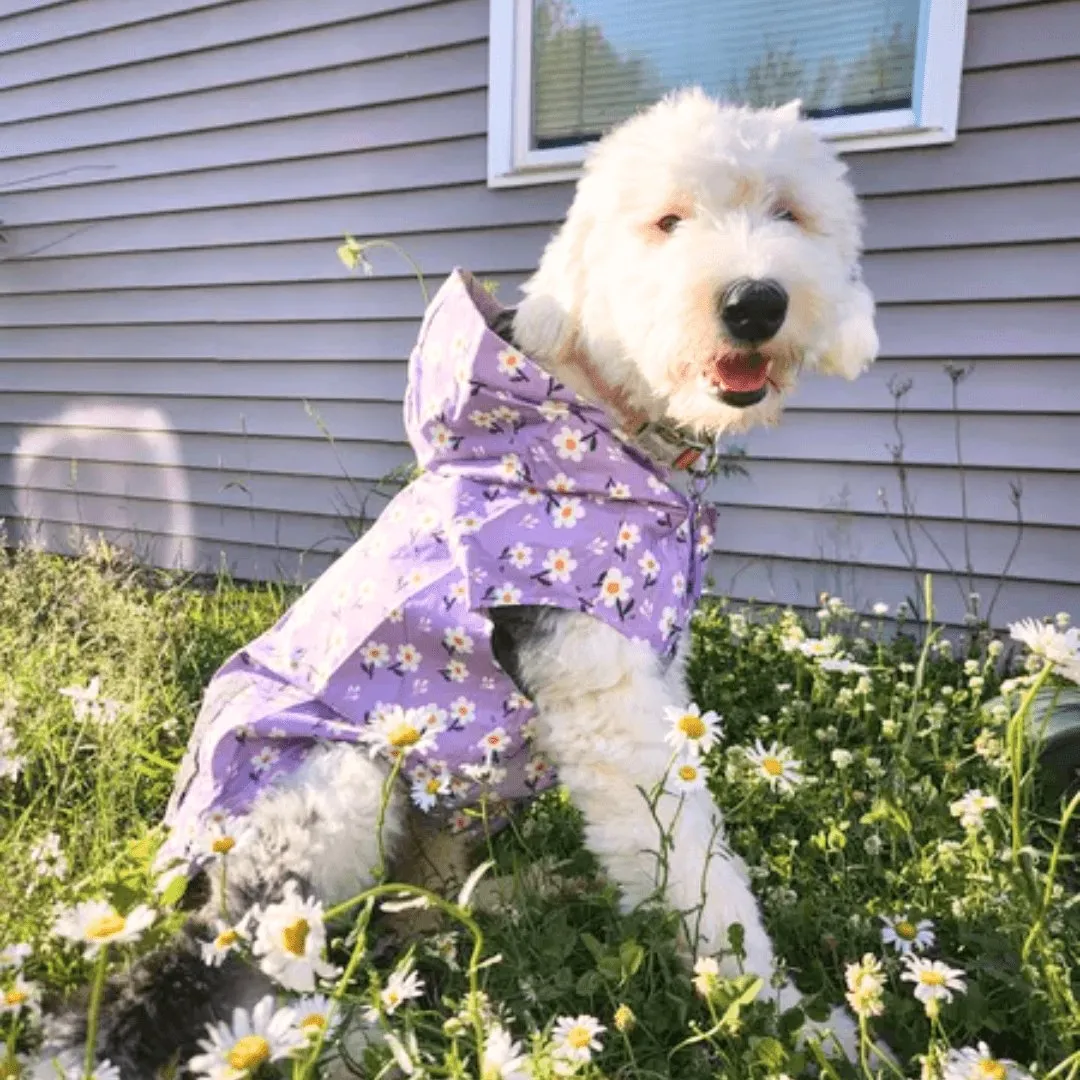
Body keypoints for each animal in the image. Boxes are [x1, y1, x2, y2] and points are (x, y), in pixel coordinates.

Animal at [61, 88, 876, 1075]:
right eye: (667, 221)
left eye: (790, 213)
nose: (754, 302)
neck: (601, 427)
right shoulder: (610, 712)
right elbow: (701, 882)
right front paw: (799, 1023)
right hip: (328, 786)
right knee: (221, 962)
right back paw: (352, 1036)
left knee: (413, 910)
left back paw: (508, 905)